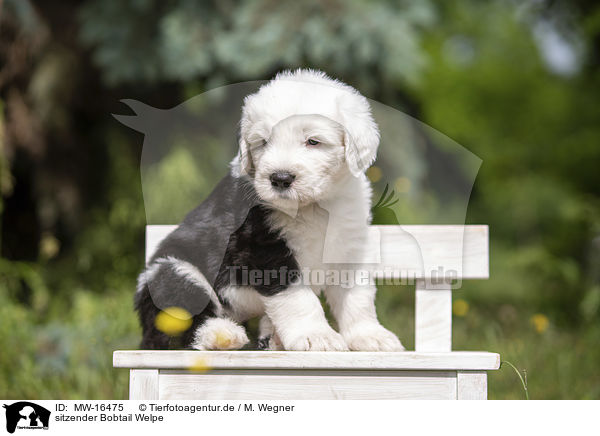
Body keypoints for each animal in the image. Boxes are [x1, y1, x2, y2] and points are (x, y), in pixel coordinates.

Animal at [135, 70, 406, 352]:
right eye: (263, 142)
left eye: (313, 141)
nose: (280, 178)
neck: (314, 206)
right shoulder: (262, 244)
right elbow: (297, 296)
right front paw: (318, 336)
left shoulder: (349, 245)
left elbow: (357, 297)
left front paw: (370, 336)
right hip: (171, 271)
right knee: (175, 325)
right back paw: (222, 335)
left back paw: (270, 338)